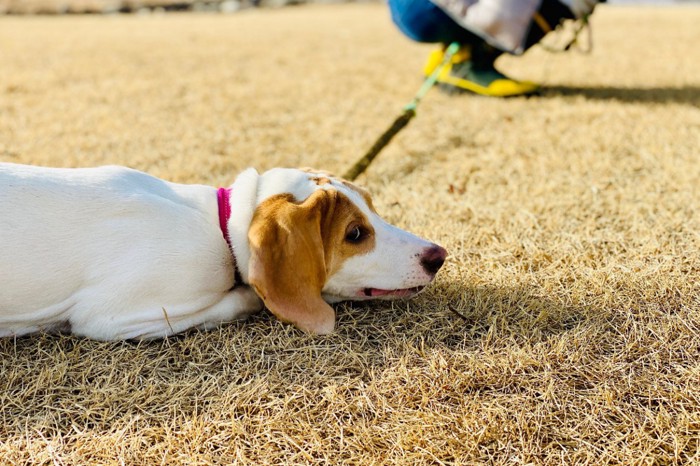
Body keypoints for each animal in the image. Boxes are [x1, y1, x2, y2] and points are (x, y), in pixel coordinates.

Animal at [0, 162, 446, 340]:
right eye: (354, 233)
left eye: (373, 206)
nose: (438, 256)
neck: (220, 228)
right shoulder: (110, 318)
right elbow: (243, 298)